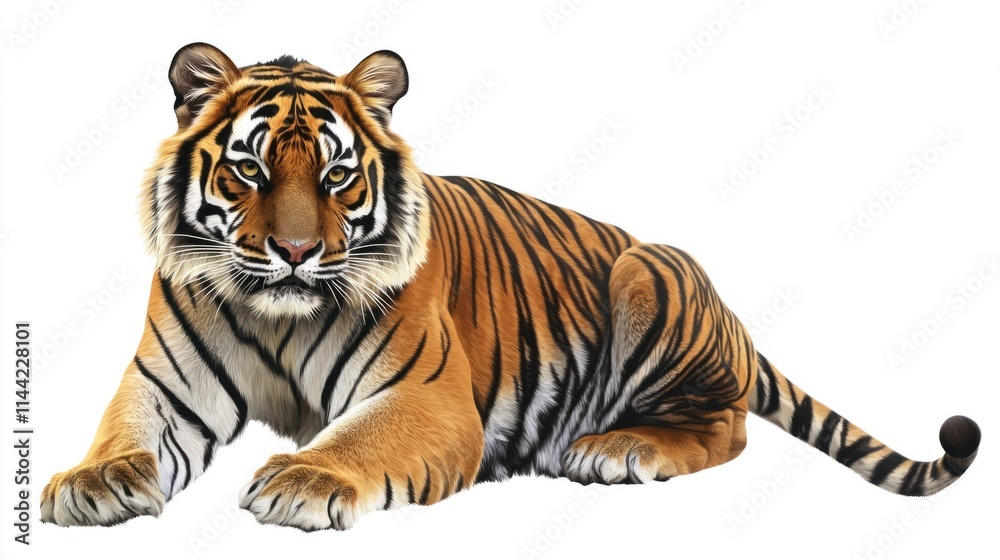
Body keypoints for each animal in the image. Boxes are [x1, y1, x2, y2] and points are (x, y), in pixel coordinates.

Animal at [41, 43, 981, 531]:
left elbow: (356, 441)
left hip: (647, 271)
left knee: (730, 425)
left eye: (338, 175)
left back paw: (617, 449)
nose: (298, 253)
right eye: (250, 170)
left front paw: (303, 480)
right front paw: (91, 482)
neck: (281, 315)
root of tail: (738, 326)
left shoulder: (425, 396)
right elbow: (123, 431)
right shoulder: (165, 384)